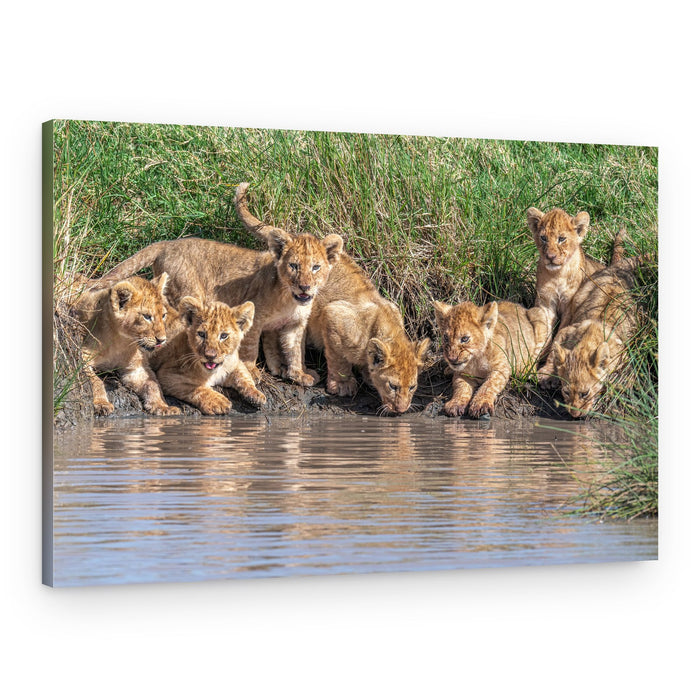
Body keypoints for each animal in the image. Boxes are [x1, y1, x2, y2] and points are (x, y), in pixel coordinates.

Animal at [73, 273, 181, 416]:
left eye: (163, 315)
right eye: (147, 316)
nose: (162, 340)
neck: (120, 341)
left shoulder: (136, 368)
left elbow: (152, 384)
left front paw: (162, 406)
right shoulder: (82, 356)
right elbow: (95, 381)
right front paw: (101, 404)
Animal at [91, 198, 344, 388]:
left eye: (316, 267)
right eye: (293, 266)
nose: (304, 287)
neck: (290, 299)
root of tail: (167, 243)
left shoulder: (295, 324)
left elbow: (295, 350)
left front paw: (299, 374)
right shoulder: (257, 315)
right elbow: (250, 349)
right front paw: (252, 372)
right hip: (187, 290)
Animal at [234, 184, 430, 414]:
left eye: (413, 386)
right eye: (393, 386)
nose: (401, 410)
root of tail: (293, 236)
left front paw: (367, 374)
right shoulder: (334, 315)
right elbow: (338, 359)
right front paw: (343, 384)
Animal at [543, 256, 639, 418]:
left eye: (585, 393)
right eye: (566, 392)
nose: (574, 414)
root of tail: (616, 268)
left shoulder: (623, 352)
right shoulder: (567, 331)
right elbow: (554, 351)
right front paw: (547, 375)